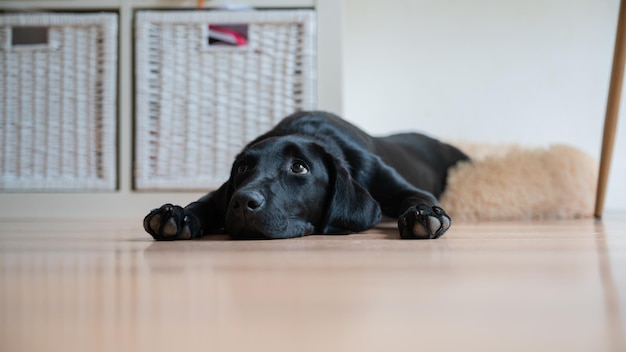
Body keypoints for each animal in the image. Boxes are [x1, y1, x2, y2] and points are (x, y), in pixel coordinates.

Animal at [144, 111, 468, 241]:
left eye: (299, 167)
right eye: (242, 168)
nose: (242, 202)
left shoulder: (399, 186)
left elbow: (416, 199)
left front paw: (422, 215)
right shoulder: (223, 192)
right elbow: (205, 201)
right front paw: (177, 215)